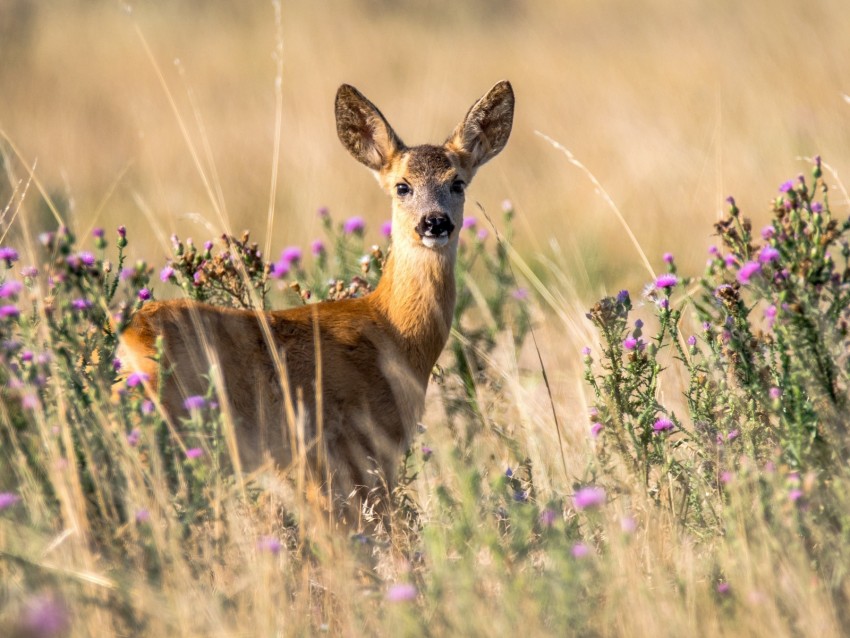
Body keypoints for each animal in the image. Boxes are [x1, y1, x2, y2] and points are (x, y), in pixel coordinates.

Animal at [118, 80, 512, 524]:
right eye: (402, 186)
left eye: (458, 182)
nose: (435, 223)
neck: (393, 332)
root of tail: (128, 338)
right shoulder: (356, 446)